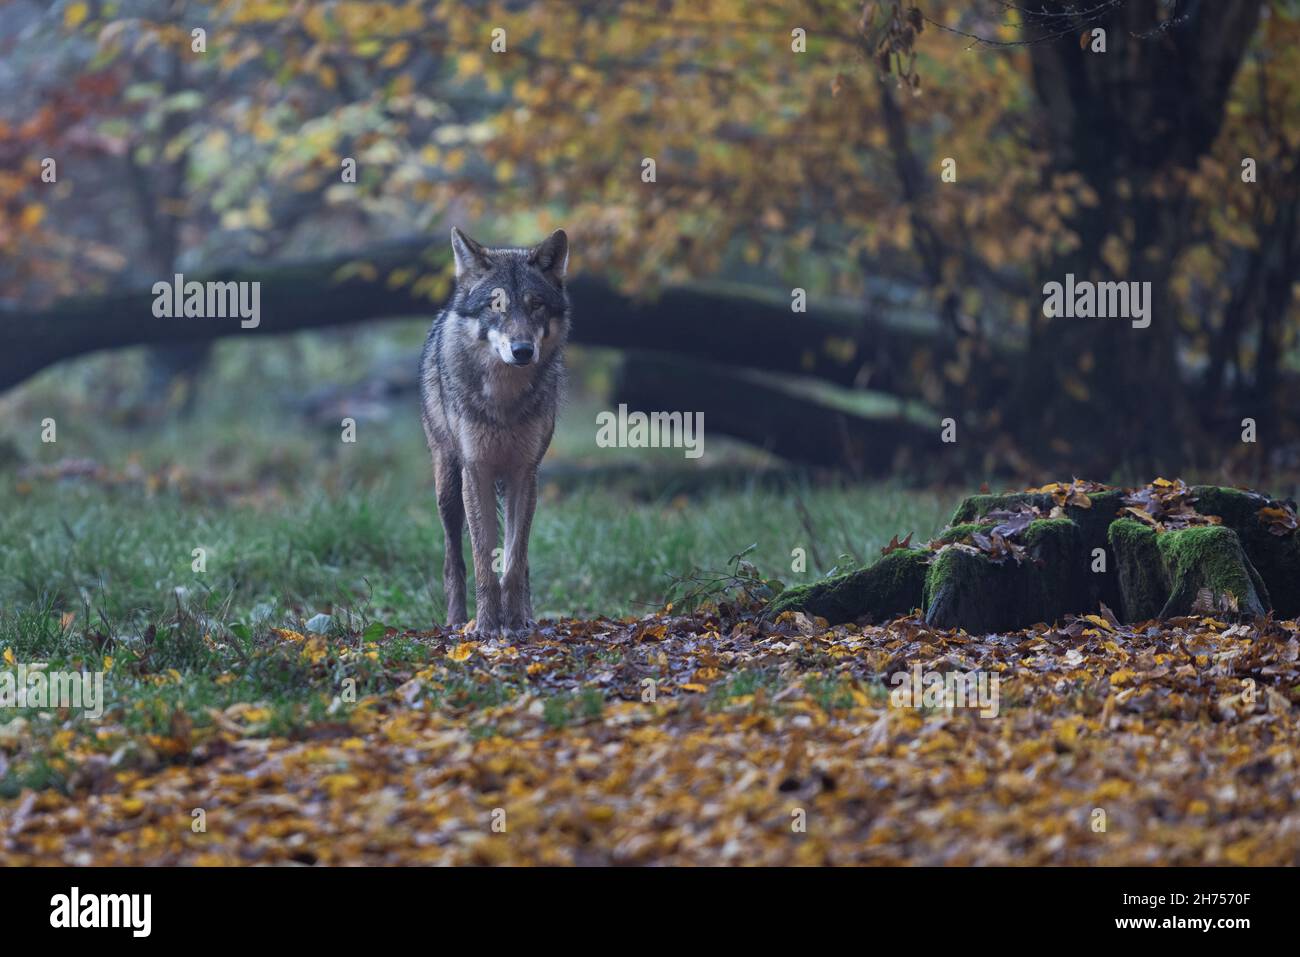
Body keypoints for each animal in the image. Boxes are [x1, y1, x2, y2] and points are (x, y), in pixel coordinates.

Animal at [419, 227, 570, 635]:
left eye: (536, 305)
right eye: (496, 305)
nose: (522, 350)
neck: (504, 399)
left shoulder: (524, 474)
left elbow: (514, 563)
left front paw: (515, 622)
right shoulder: (477, 473)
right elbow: (483, 562)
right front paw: (486, 626)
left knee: (523, 560)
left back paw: (527, 616)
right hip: (447, 489)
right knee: (452, 560)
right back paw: (457, 621)